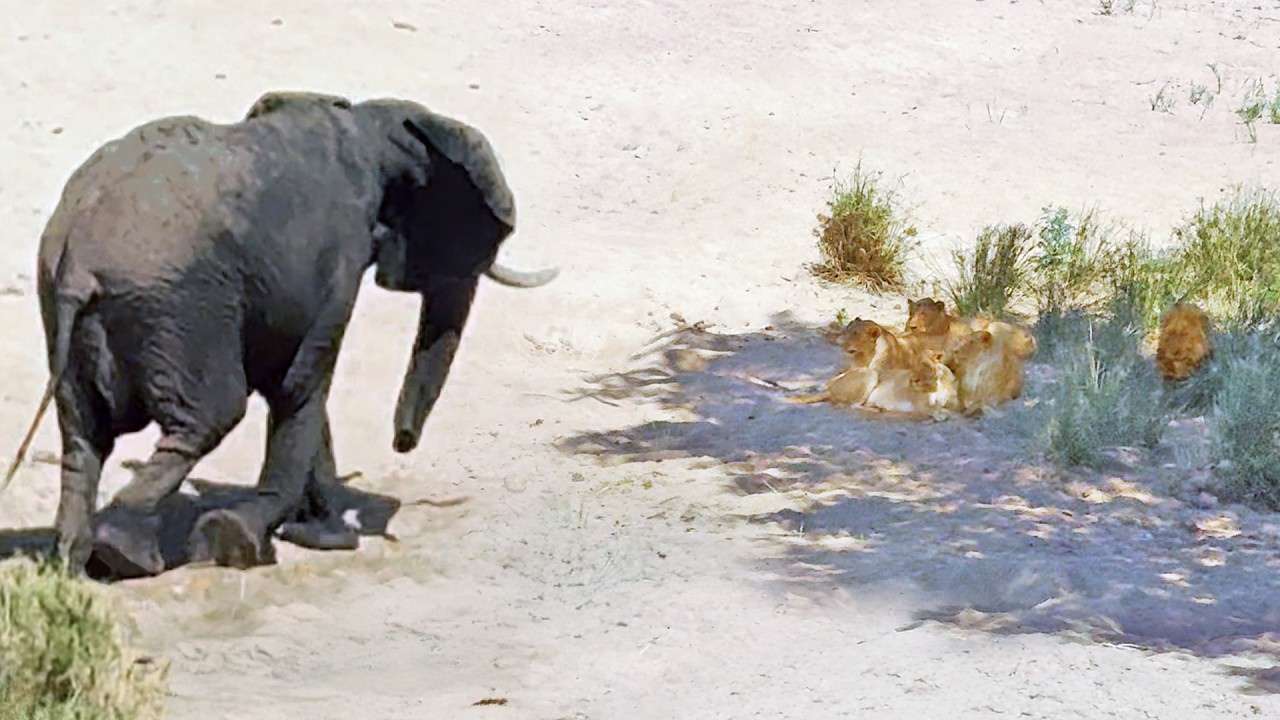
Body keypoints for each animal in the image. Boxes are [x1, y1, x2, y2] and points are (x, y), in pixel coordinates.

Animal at [2, 90, 558, 578]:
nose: (402, 442)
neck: (369, 123)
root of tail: (77, 262)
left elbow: (303, 382)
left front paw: (322, 531)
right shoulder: (342, 252)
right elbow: (301, 381)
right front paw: (271, 539)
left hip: (74, 311)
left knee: (83, 435)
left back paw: (74, 560)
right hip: (180, 310)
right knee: (209, 417)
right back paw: (128, 556)